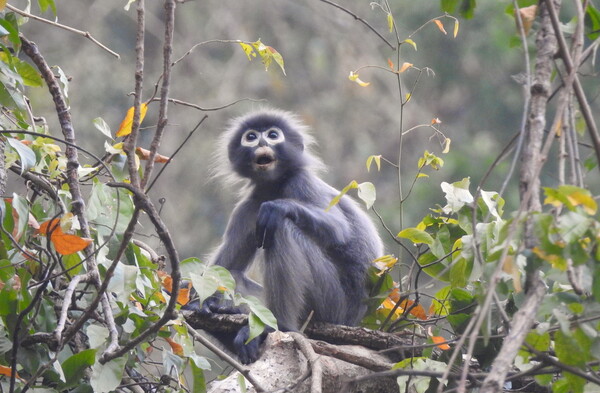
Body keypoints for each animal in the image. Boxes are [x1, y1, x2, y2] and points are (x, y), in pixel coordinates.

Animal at [197, 108, 384, 362]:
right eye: (251, 137)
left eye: (273, 135)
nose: (263, 142)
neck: (275, 186)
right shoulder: (249, 206)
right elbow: (225, 266)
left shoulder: (300, 182)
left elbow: (338, 229)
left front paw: (278, 207)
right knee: (233, 273)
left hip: (333, 305)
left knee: (282, 228)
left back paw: (277, 326)